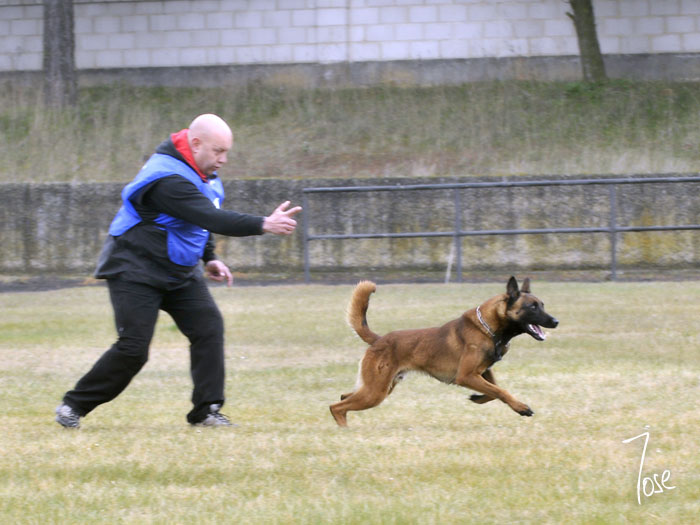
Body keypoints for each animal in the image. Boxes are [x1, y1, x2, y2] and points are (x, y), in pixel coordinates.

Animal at [330, 277, 558, 427]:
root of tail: (379, 340)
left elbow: (494, 391)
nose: (555, 321)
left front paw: (478, 398)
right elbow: (501, 391)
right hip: (375, 392)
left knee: (343, 398)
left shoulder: (483, 372)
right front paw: (521, 407)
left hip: (379, 388)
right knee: (336, 406)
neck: (487, 327)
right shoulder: (466, 376)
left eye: (542, 304)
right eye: (532, 307)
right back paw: (345, 431)